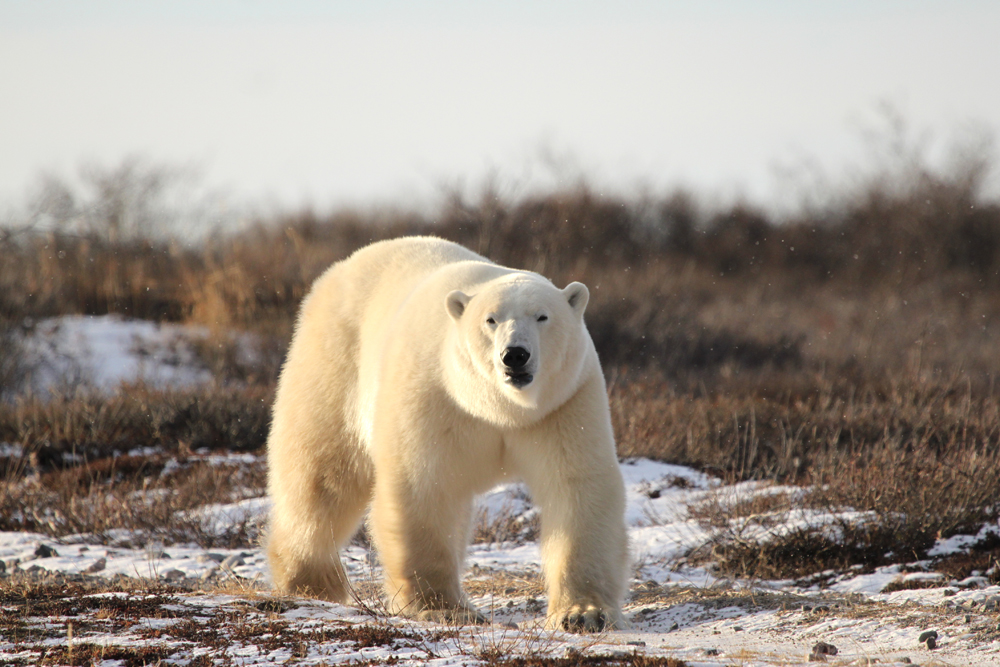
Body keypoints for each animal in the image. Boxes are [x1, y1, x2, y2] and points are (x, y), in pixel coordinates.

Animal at [265, 236, 628, 632]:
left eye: (542, 316)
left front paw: (583, 613)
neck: (499, 409)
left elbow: (576, 485)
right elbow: (424, 485)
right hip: (334, 365)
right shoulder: (435, 396)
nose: (515, 355)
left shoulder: (563, 404)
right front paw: (443, 607)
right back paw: (311, 581)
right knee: (322, 477)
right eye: (491, 319)